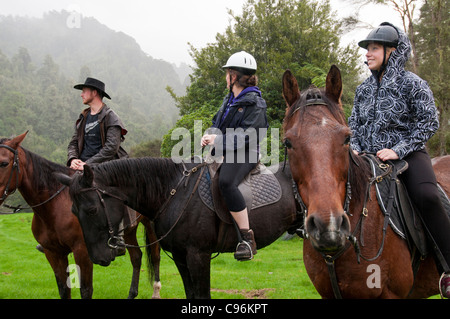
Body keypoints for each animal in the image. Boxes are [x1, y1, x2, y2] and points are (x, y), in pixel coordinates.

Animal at [0, 132, 162, 300]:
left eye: (4, 163)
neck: (54, 209)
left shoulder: (82, 252)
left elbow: (85, 290)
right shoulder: (53, 253)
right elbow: (64, 290)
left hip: (151, 224)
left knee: (155, 255)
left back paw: (156, 291)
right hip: (130, 230)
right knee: (136, 257)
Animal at [57, 156, 302, 300]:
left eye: (91, 210)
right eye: (73, 212)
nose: (98, 258)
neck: (175, 192)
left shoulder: (198, 256)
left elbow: (202, 297)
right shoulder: (180, 256)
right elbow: (190, 294)